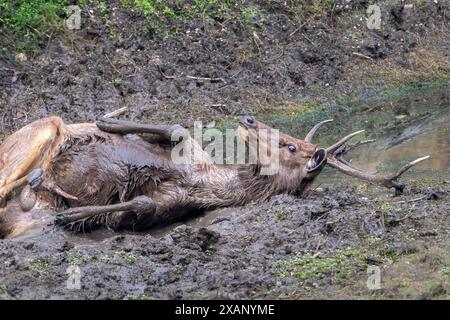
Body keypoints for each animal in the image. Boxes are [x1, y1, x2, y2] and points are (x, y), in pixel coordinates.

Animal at [0, 115, 428, 238]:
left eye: (290, 146)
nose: (249, 118)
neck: (210, 182)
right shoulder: (187, 149)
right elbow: (176, 128)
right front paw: (107, 120)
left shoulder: (170, 206)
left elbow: (141, 203)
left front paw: (72, 215)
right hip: (38, 131)